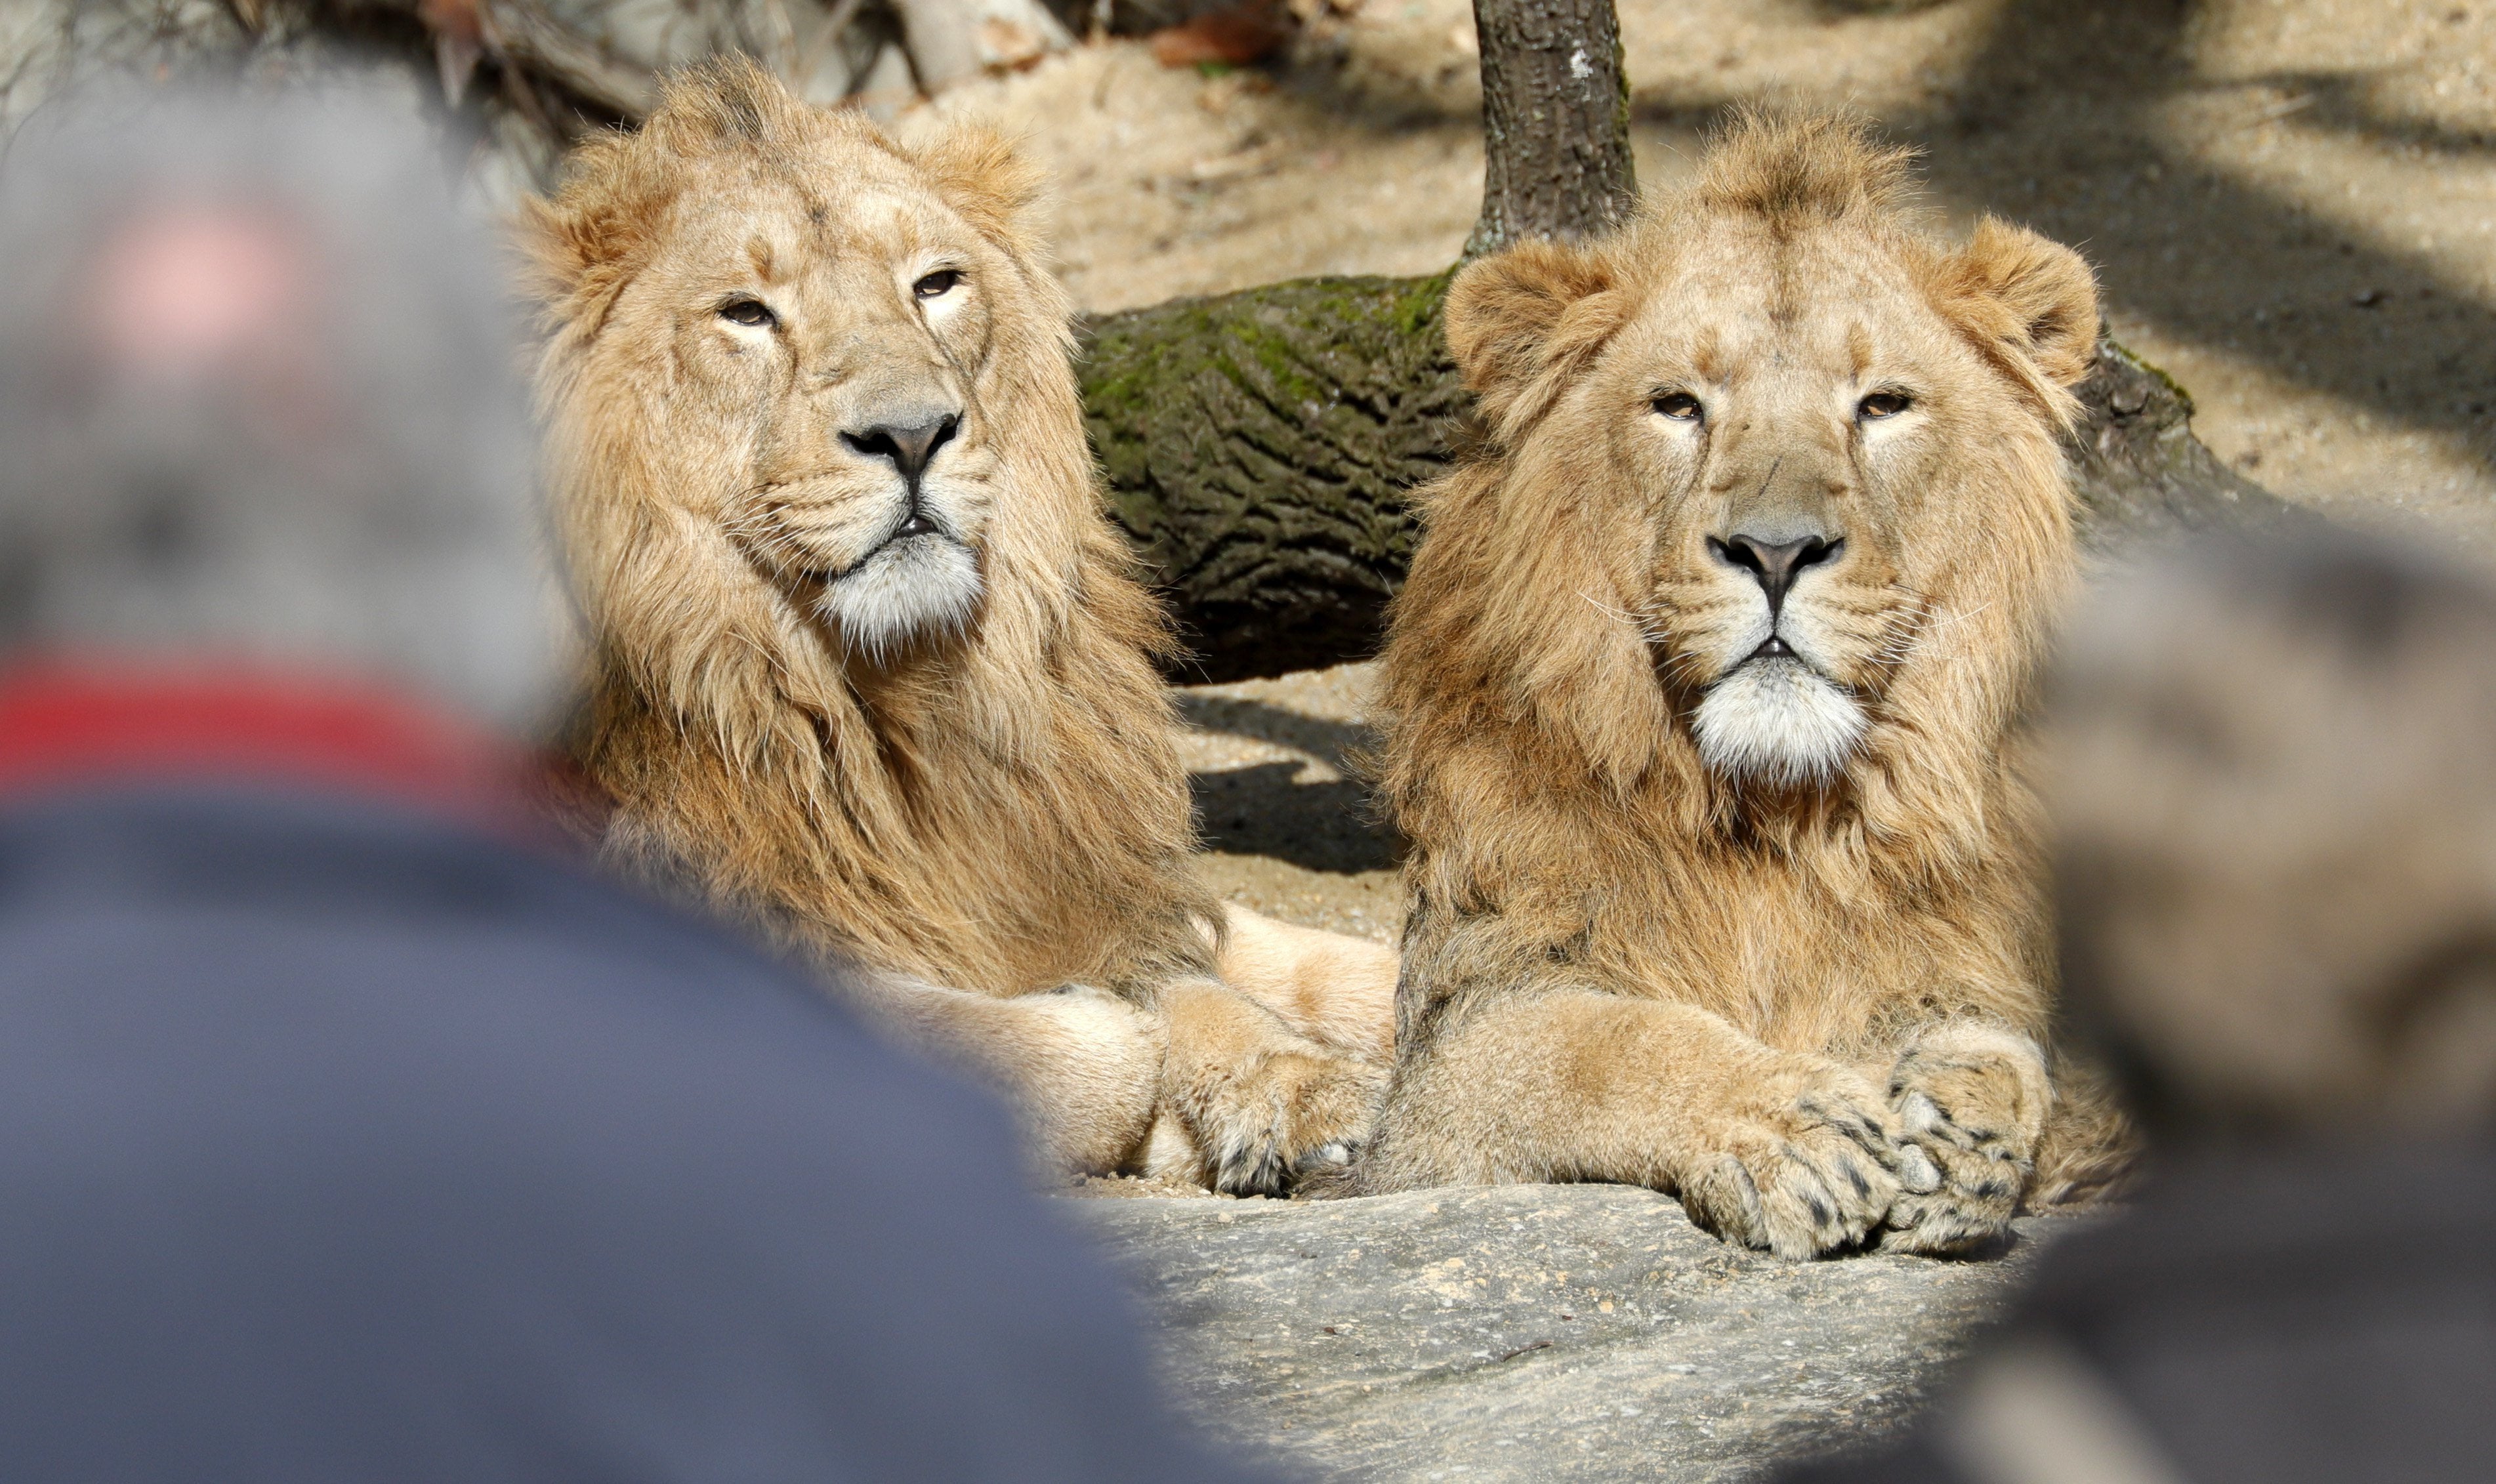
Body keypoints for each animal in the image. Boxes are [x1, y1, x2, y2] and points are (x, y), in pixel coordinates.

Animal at [521, 58, 1393, 1195]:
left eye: (935, 284)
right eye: (745, 313)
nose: (911, 433)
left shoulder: (1073, 862)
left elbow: (1297, 961)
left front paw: (1300, 1084)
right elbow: (1075, 1047)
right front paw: (1139, 1067)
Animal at [1336, 112, 2131, 1255]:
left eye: (1882, 405)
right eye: (1679, 405)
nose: (1777, 550)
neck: (1775, 815)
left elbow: (1993, 1041)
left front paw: (1961, 1130)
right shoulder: (1443, 1072)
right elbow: (1601, 1041)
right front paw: (1789, 1124)